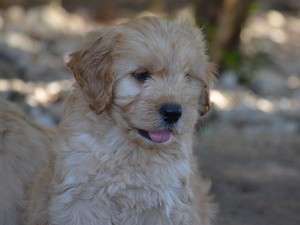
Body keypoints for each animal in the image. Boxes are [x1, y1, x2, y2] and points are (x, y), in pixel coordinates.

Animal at [0, 16, 216, 224]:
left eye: (187, 77)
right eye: (141, 75)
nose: (173, 112)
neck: (129, 152)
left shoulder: (164, 205)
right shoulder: (79, 199)